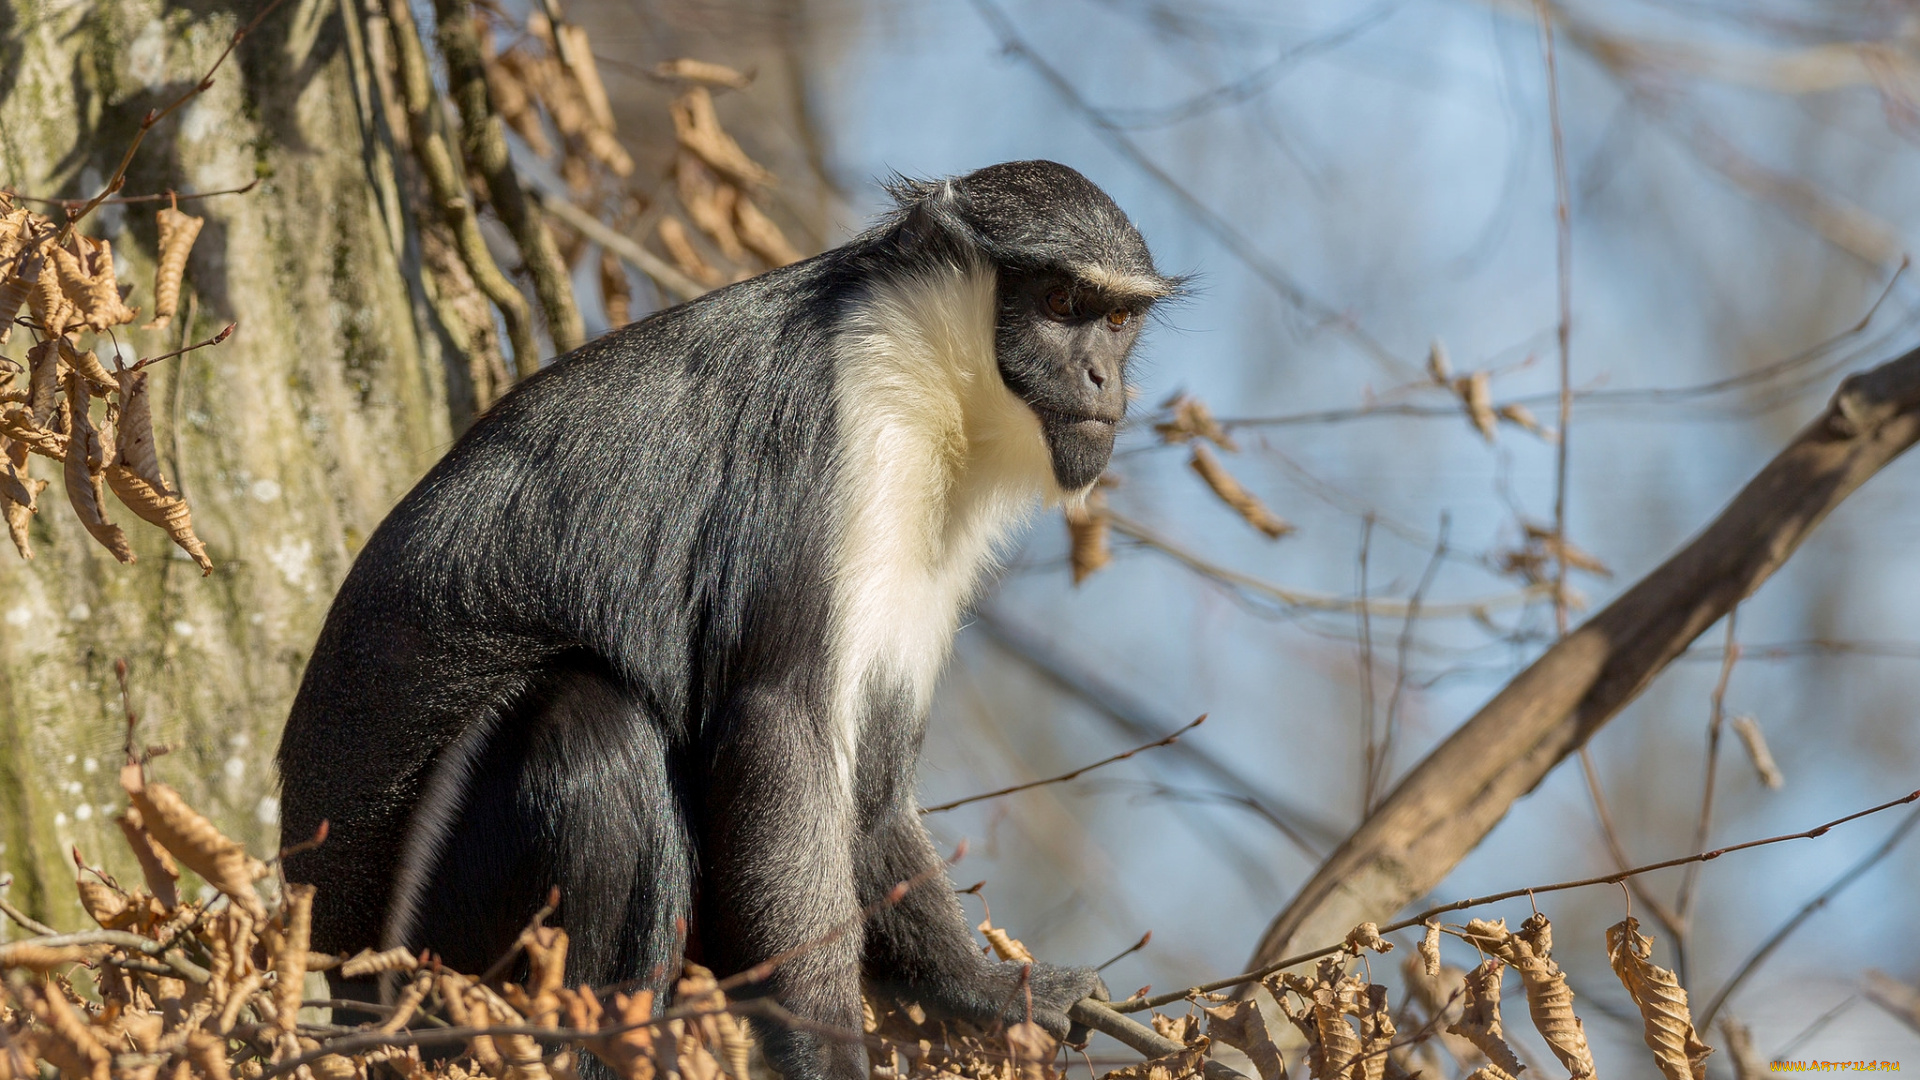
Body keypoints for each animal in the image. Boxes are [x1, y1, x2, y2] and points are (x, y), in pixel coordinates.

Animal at [270, 159, 1167, 1076]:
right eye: (1059, 302)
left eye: (1117, 318)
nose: (1104, 380)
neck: (927, 374)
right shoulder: (828, 442)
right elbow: (782, 735)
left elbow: (873, 789)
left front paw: (982, 992)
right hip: (439, 953)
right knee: (590, 725)